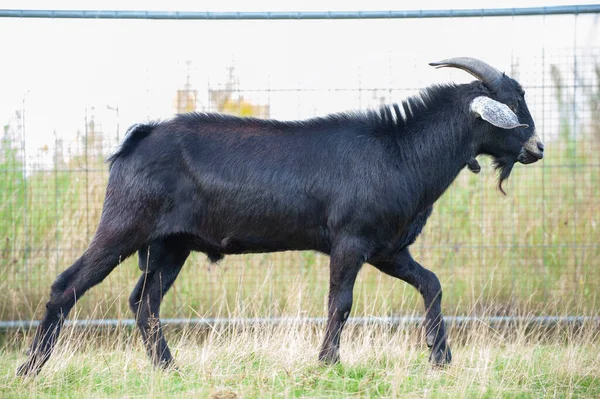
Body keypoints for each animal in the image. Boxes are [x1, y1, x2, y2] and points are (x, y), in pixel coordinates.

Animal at [17, 57, 544, 376]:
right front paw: (327, 363)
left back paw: (170, 369)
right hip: (126, 225)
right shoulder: (350, 241)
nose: (538, 148)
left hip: (171, 244)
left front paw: (441, 356)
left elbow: (431, 283)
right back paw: (31, 369)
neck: (399, 151)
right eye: (512, 104)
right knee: (68, 285)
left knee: (144, 303)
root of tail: (137, 139)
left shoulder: (386, 248)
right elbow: (340, 304)